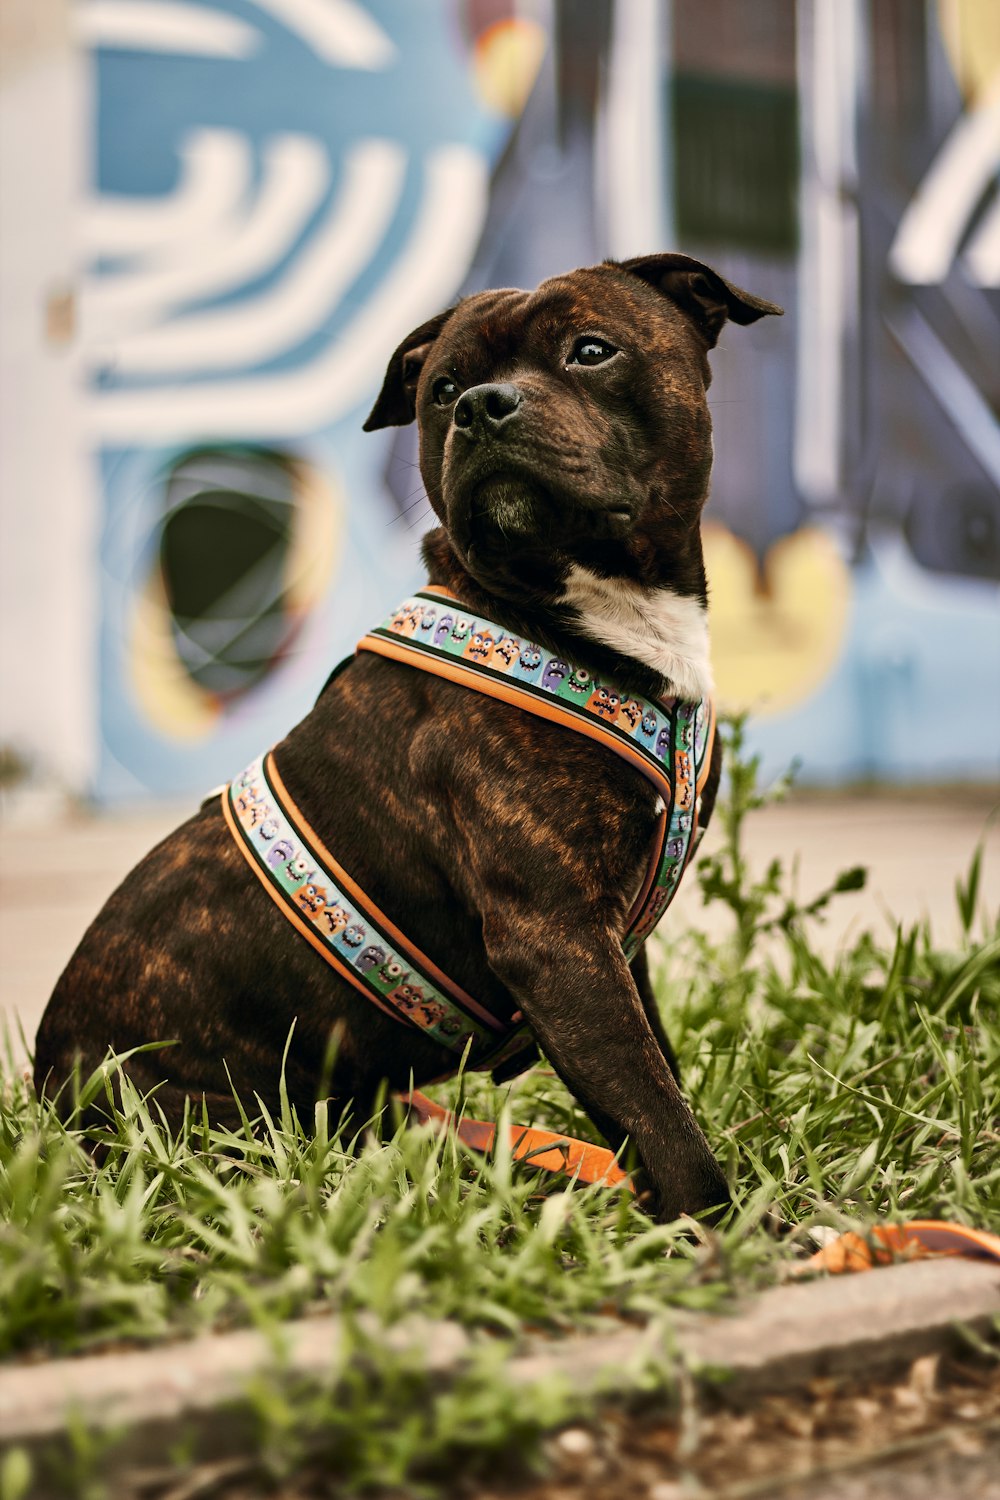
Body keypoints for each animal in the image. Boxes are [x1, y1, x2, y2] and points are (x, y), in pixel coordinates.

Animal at [33, 255, 779, 1218]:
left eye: (591, 350)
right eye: (443, 390)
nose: (483, 406)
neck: (583, 615)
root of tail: (47, 1090)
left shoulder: (615, 951)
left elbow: (659, 1087)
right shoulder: (560, 945)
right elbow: (661, 1119)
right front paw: (736, 1234)